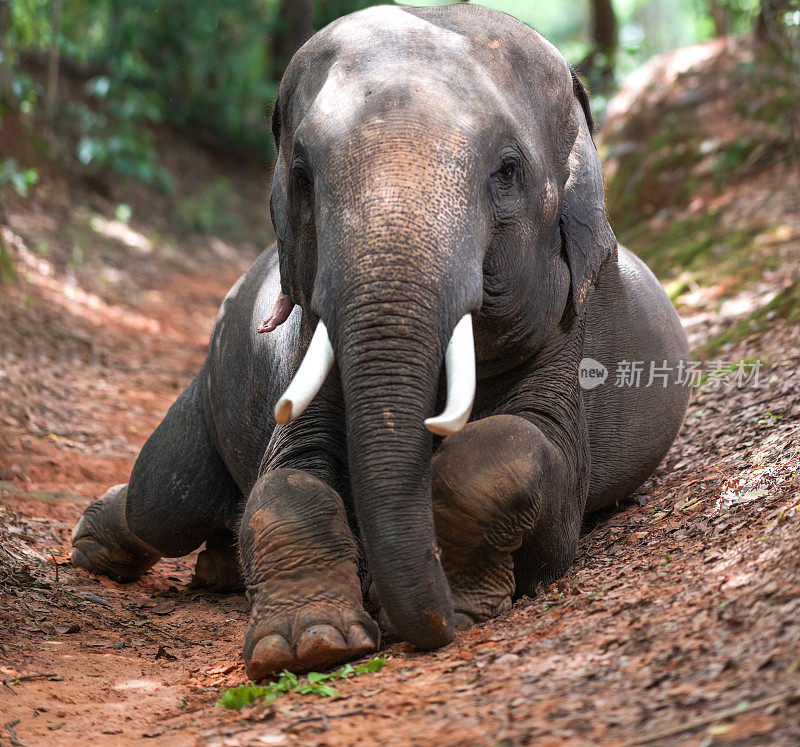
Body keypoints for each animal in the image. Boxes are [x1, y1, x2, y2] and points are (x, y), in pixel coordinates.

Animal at [72, 5, 692, 680]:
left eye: (508, 173)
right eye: (301, 176)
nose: (420, 616)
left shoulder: (569, 341)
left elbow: (517, 455)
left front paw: (463, 610)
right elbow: (288, 479)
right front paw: (307, 644)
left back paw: (214, 567)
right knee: (163, 498)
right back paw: (96, 544)